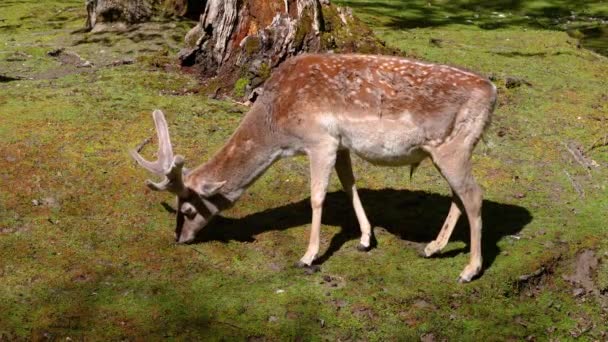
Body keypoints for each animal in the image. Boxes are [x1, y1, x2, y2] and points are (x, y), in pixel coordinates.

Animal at [131, 53, 496, 282]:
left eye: (189, 209)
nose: (179, 239)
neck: (278, 126)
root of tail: (492, 93)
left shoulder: (319, 140)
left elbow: (318, 197)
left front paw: (307, 256)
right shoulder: (341, 143)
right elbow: (349, 184)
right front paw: (365, 238)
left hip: (455, 146)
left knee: (474, 196)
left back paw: (469, 270)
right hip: (446, 151)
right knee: (459, 195)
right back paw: (433, 248)